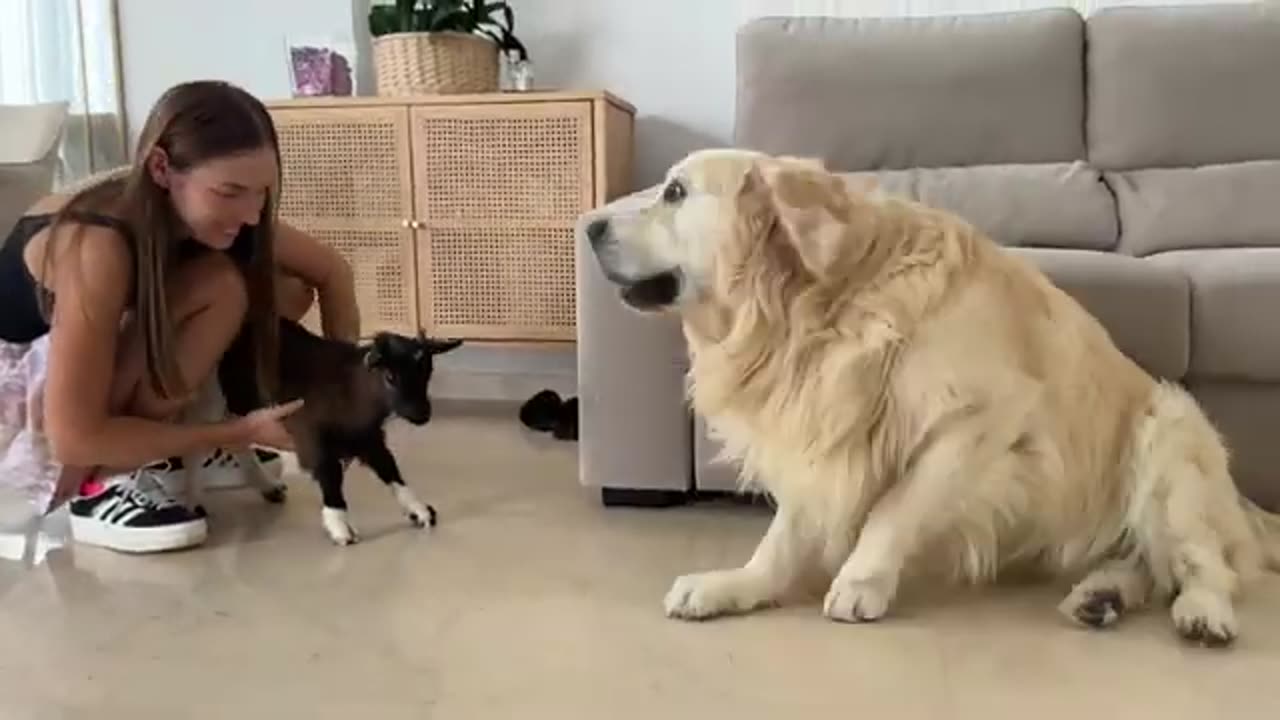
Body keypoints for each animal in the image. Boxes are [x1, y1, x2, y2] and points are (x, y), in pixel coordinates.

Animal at [190, 316, 465, 540]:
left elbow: (390, 468)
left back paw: (268, 487)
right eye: (390, 376)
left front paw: (419, 510)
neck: (350, 389)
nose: (422, 415)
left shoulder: (368, 438)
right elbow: (329, 471)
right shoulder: (310, 433)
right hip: (210, 398)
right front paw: (340, 526)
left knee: (234, 439)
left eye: (427, 373)